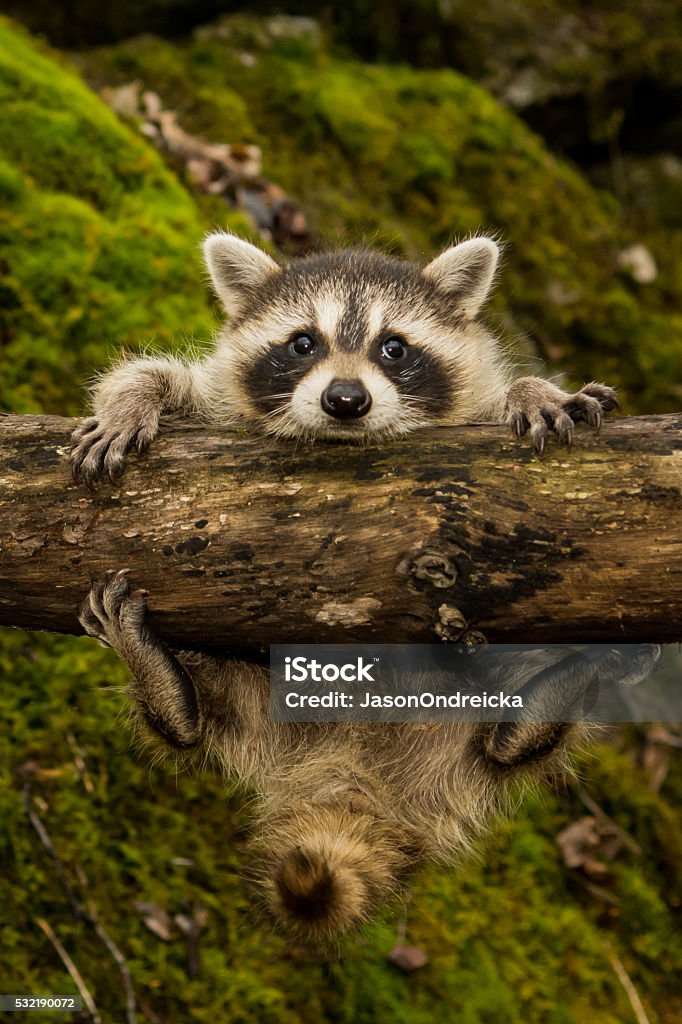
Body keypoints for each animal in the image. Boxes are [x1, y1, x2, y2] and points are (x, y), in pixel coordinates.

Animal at [71, 232, 630, 942]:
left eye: (394, 347)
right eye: (302, 343)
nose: (344, 400)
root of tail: (354, 770)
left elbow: (501, 394)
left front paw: (532, 390)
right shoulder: (223, 401)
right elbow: (163, 376)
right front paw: (131, 401)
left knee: (505, 746)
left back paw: (543, 704)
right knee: (198, 721)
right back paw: (167, 687)